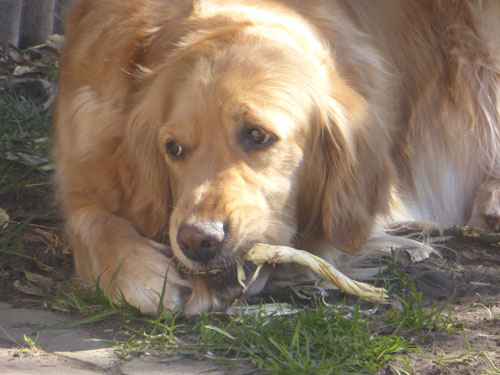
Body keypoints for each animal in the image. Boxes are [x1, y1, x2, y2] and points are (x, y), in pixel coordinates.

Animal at [52, 0, 500, 314]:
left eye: (257, 136)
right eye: (173, 149)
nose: (197, 239)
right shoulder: (81, 170)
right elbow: (92, 224)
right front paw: (140, 272)